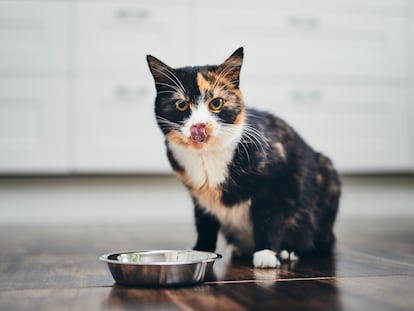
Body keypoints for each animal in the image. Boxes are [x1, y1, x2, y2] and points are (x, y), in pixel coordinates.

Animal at [147, 47, 342, 270]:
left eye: (216, 103)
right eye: (181, 105)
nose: (200, 125)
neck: (207, 156)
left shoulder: (277, 179)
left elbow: (269, 217)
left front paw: (266, 253)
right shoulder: (199, 197)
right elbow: (204, 222)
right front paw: (200, 250)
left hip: (326, 177)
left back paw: (289, 251)